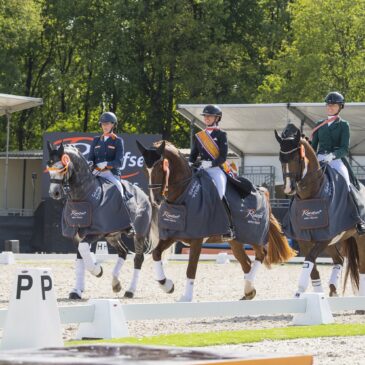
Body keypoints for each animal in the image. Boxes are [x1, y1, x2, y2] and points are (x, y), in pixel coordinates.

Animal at [46, 141, 153, 298]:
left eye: (61, 167)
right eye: (49, 166)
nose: (54, 193)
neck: (84, 194)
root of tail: (144, 195)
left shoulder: (95, 232)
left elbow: (84, 250)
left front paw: (98, 270)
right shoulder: (77, 235)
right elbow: (80, 257)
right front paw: (76, 291)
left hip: (139, 234)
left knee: (138, 258)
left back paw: (130, 290)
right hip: (112, 235)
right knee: (123, 252)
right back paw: (116, 284)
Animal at [135, 139, 294, 302]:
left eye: (161, 167)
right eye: (144, 169)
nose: (155, 200)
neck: (184, 194)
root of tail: (262, 190)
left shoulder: (197, 239)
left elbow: (191, 268)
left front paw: (186, 297)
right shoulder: (174, 235)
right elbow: (156, 253)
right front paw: (167, 285)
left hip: (254, 235)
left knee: (261, 254)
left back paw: (249, 285)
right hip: (235, 241)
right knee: (246, 262)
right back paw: (249, 291)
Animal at [272, 123, 364, 298]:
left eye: (296, 158)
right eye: (280, 159)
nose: (288, 188)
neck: (312, 194)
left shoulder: (325, 237)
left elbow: (309, 261)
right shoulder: (306, 239)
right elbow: (313, 270)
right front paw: (315, 295)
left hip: (358, 237)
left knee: (361, 266)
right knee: (339, 260)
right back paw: (333, 291)